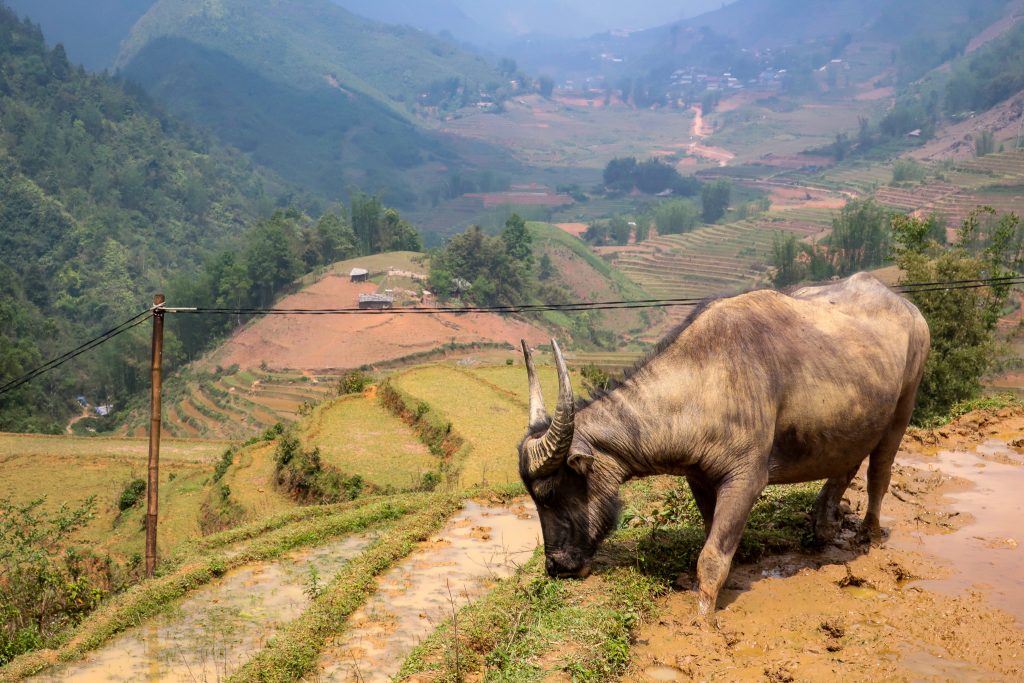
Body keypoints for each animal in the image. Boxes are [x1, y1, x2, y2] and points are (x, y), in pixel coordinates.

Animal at [520, 274, 929, 618]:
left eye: (550, 492)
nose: (555, 566)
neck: (703, 382)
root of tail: (908, 308)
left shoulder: (746, 480)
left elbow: (713, 556)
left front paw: (703, 619)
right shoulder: (699, 478)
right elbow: (710, 536)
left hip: (903, 407)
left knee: (879, 472)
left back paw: (869, 532)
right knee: (847, 463)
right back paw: (823, 525)